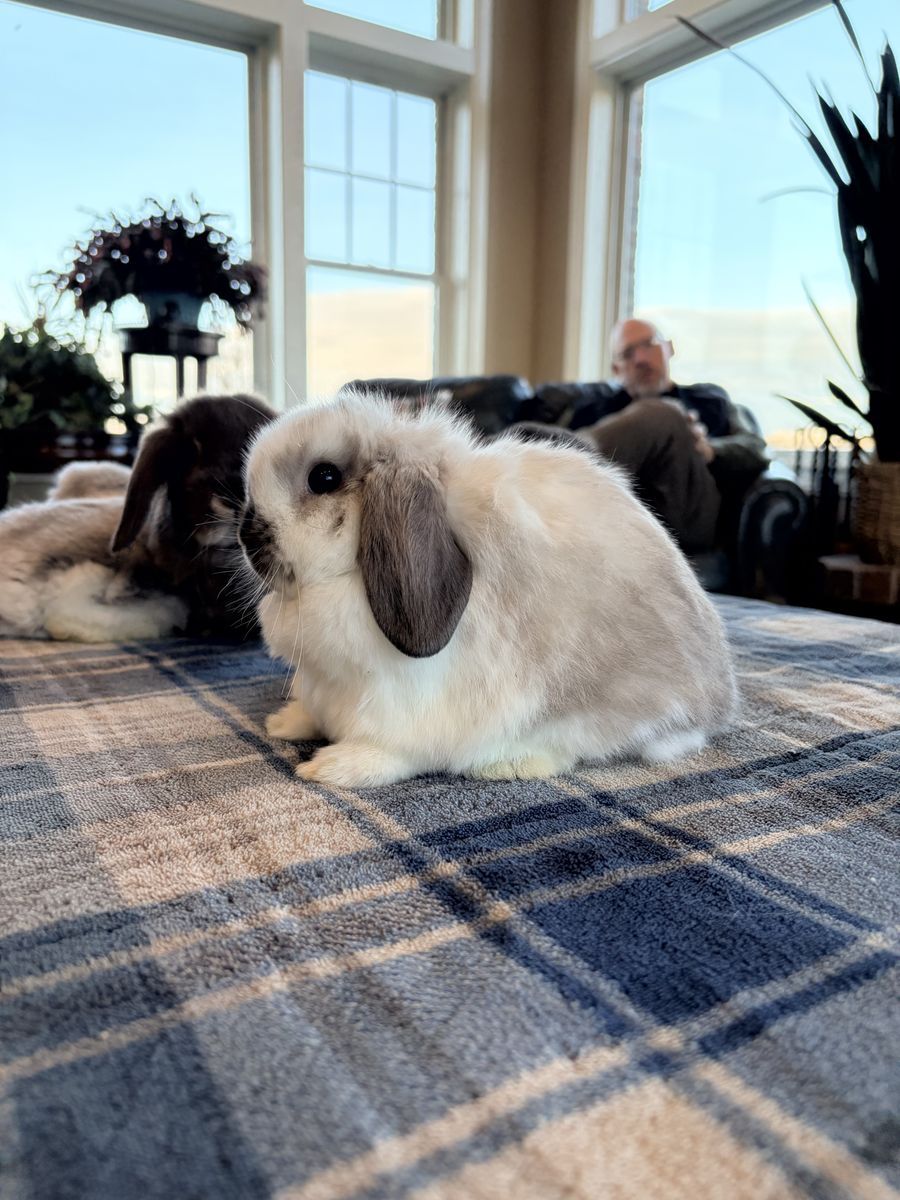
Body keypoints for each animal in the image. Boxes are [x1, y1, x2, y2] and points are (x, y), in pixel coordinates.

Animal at [239, 391, 738, 788]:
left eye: (323, 477)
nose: (245, 534)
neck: (344, 581)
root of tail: (717, 705)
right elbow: (311, 711)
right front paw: (284, 722)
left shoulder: (404, 711)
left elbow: (391, 752)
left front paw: (330, 767)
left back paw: (509, 764)